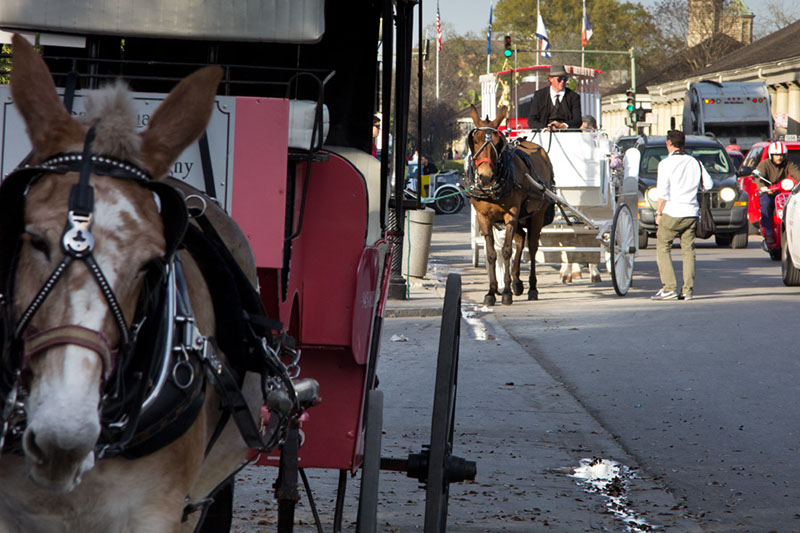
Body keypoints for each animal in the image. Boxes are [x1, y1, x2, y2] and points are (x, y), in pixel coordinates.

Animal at [466, 105, 552, 304]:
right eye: (475, 140)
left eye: (498, 142)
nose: (485, 175)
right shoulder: (483, 218)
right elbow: (491, 253)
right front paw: (492, 291)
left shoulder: (511, 214)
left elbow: (505, 250)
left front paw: (505, 292)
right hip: (520, 217)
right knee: (520, 240)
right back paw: (517, 282)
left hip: (537, 214)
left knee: (532, 246)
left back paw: (532, 288)